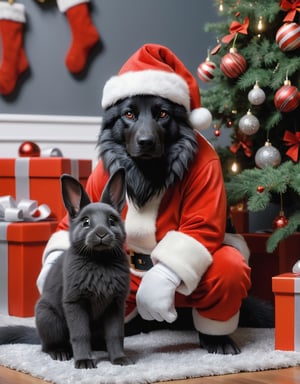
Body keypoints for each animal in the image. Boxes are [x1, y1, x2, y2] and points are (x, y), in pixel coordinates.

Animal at [0, 169, 132, 368]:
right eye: (85, 222)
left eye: (112, 220)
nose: (102, 234)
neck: (99, 262)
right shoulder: (75, 303)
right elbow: (80, 334)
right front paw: (84, 362)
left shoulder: (115, 305)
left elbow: (116, 335)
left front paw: (119, 359)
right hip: (49, 319)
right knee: (48, 346)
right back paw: (61, 353)